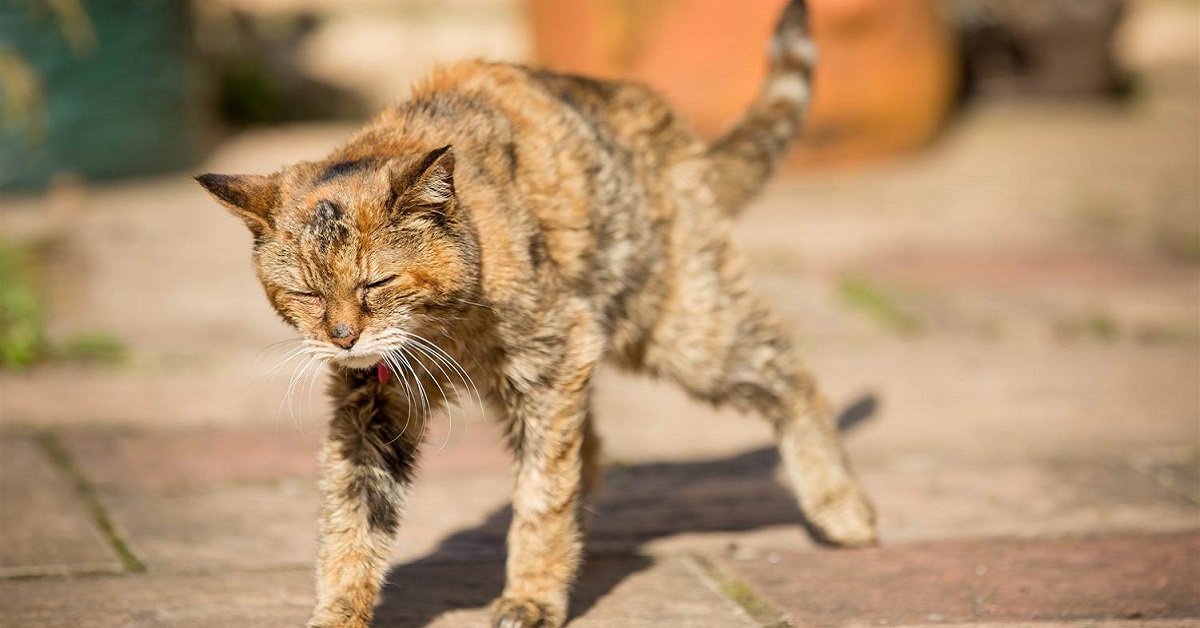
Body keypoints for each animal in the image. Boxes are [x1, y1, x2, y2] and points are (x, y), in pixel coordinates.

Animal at [194, 1, 873, 628]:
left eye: (377, 282)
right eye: (306, 293)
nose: (341, 338)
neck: (444, 329)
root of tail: (667, 126)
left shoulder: (554, 358)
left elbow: (542, 494)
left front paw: (533, 596)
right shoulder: (369, 409)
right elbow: (352, 521)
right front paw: (337, 612)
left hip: (684, 331)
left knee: (791, 375)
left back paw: (841, 507)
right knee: (592, 444)